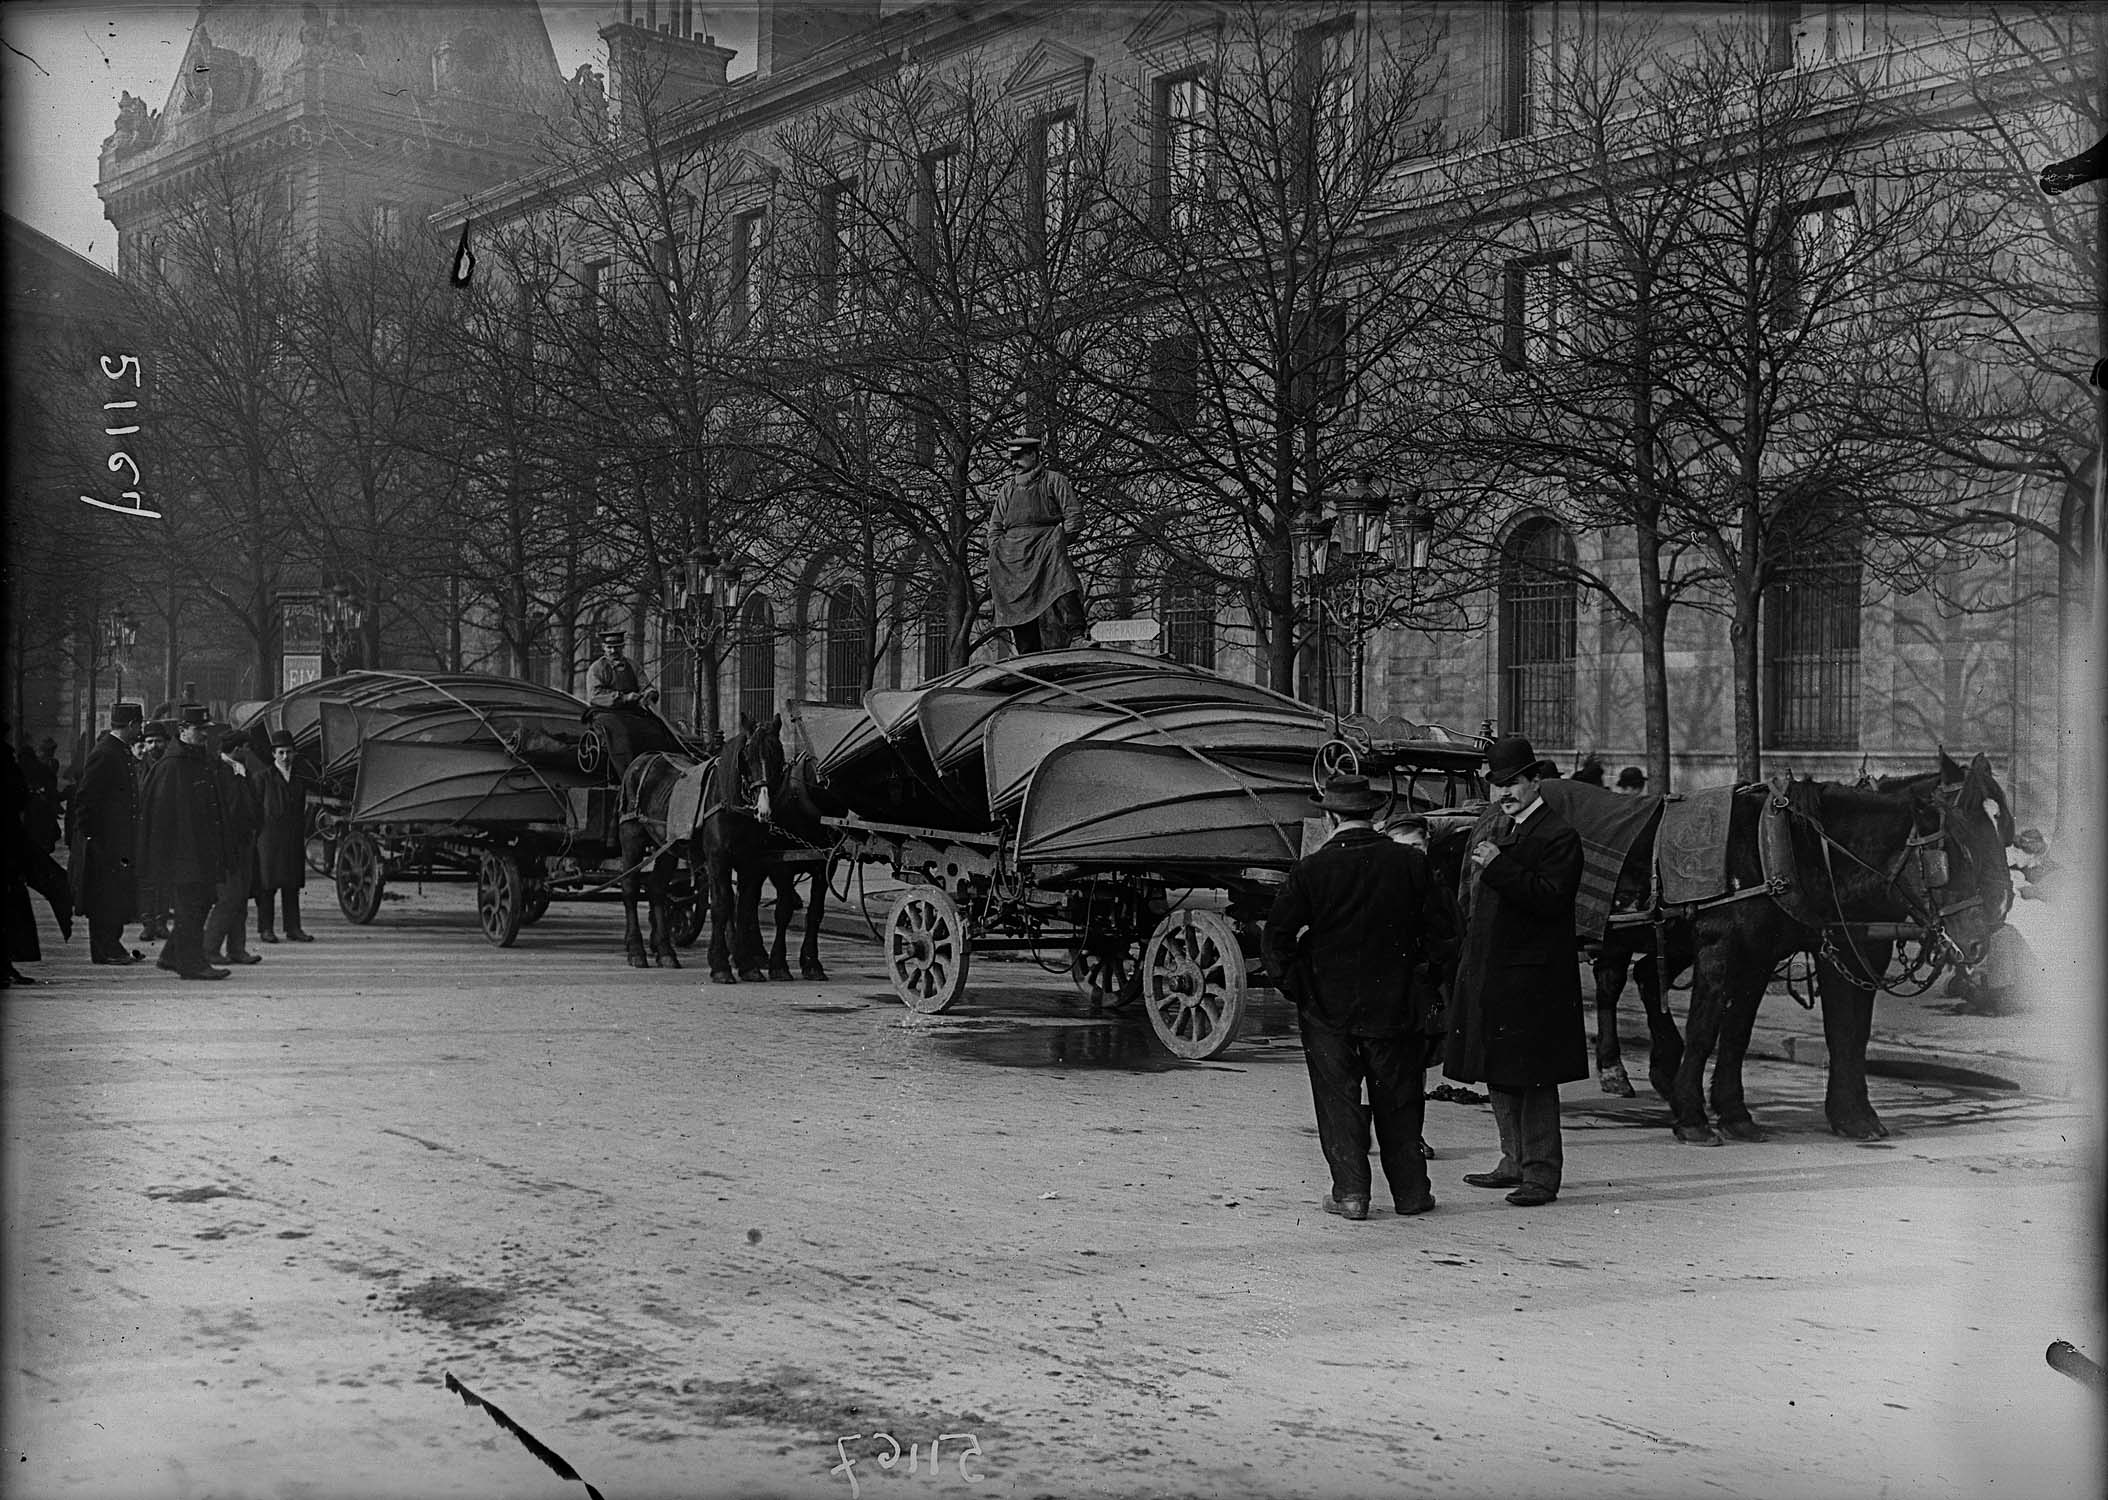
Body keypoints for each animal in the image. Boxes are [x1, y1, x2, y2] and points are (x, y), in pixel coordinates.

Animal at [1585, 754, 2006, 1146]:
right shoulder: (1722, 950)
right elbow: (1705, 1028)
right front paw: (1692, 1117)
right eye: (1946, 862)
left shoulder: (1773, 955)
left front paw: (1744, 1115)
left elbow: (1761, 1031)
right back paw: (1619, 1070)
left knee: (1640, 977)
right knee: (1612, 982)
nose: (1982, 934)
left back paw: (1658, 1070)